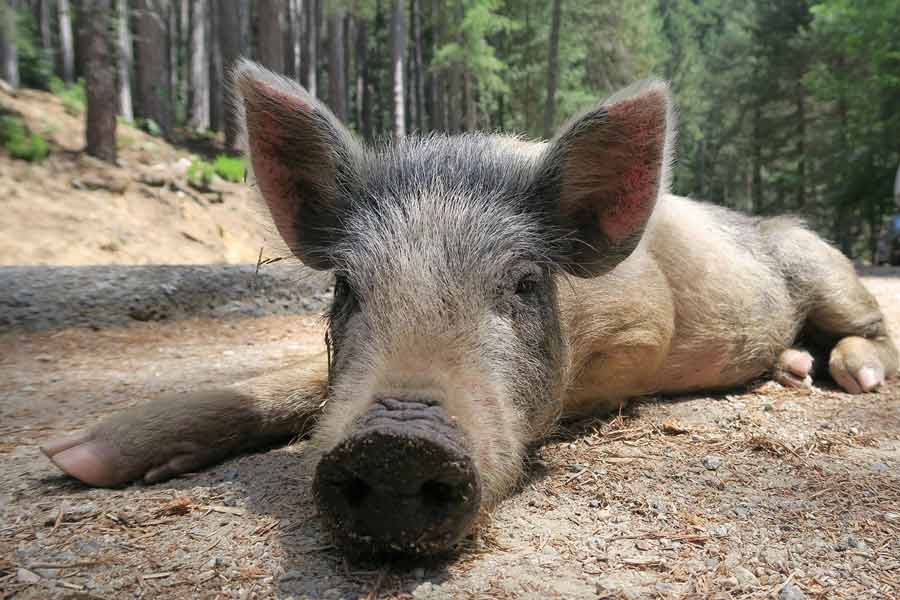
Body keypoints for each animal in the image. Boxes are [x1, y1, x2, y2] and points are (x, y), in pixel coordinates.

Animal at [42, 60, 898, 556]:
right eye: (345, 287)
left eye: (521, 285)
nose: (395, 445)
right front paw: (74, 460)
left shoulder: (644, 328)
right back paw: (791, 370)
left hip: (822, 264)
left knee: (869, 327)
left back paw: (851, 378)